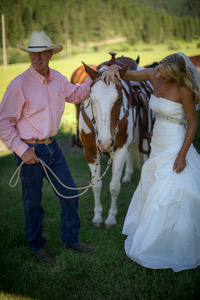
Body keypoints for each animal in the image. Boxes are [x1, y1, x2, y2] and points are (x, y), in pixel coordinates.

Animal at [78, 54, 153, 227]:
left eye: (119, 100)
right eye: (92, 99)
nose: (105, 142)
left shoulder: (119, 151)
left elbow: (114, 187)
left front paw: (111, 217)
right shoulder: (90, 151)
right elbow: (96, 185)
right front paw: (98, 216)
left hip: (146, 136)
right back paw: (127, 175)